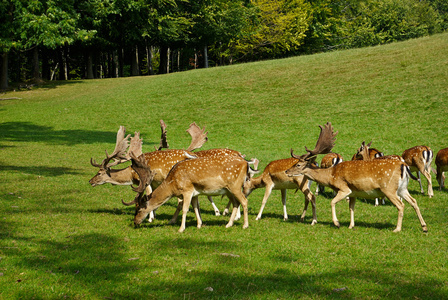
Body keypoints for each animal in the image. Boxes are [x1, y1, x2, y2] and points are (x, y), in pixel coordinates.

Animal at [286, 122, 428, 232]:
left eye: (298, 164)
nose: (287, 171)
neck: (331, 176)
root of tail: (404, 165)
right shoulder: (354, 193)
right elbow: (351, 208)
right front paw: (351, 226)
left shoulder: (344, 188)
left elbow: (332, 202)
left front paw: (337, 223)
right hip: (402, 188)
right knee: (414, 201)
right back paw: (424, 227)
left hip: (389, 189)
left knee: (401, 205)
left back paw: (397, 229)